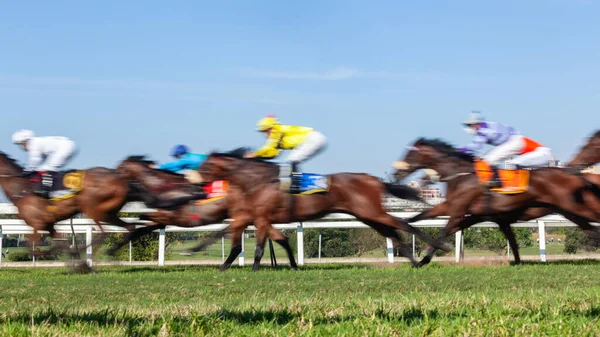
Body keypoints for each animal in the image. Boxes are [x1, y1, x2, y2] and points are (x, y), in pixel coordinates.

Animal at [197, 148, 450, 270]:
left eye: (206, 166)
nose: (197, 184)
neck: (258, 181)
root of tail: (374, 180)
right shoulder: (260, 218)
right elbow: (265, 242)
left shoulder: (261, 218)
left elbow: (258, 248)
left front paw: (252, 270)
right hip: (366, 215)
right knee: (393, 232)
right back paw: (415, 261)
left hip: (371, 212)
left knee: (403, 223)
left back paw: (434, 250)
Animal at [394, 138, 600, 266]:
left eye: (410, 154)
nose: (396, 173)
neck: (462, 175)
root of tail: (578, 175)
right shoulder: (474, 213)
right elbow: (419, 218)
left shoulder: (459, 209)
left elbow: (444, 230)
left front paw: (424, 260)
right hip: (570, 212)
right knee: (591, 229)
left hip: (578, 207)